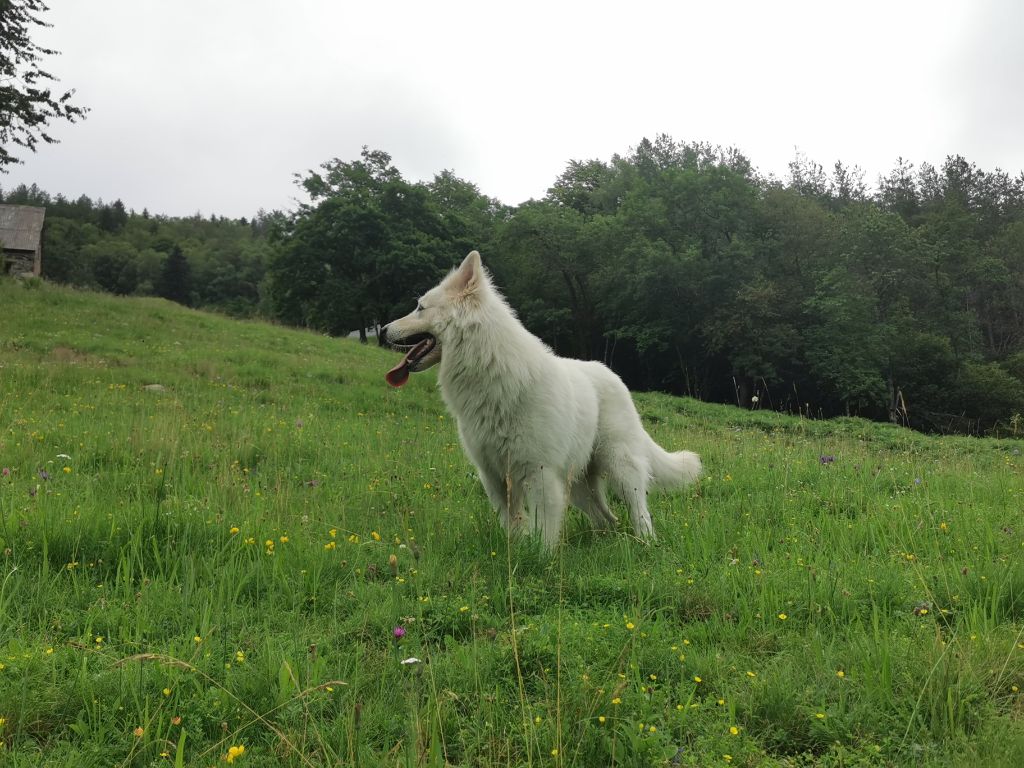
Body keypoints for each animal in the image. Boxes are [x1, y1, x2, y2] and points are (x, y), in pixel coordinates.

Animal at [380, 250, 700, 548]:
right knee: (606, 518)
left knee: (638, 511)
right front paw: (517, 554)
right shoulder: (494, 477)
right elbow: (512, 524)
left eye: (420, 307)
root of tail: (613, 375)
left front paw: (540, 561)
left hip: (620, 467)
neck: (490, 366)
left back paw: (645, 542)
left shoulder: (539, 474)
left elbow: (543, 532)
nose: (382, 330)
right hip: (578, 485)